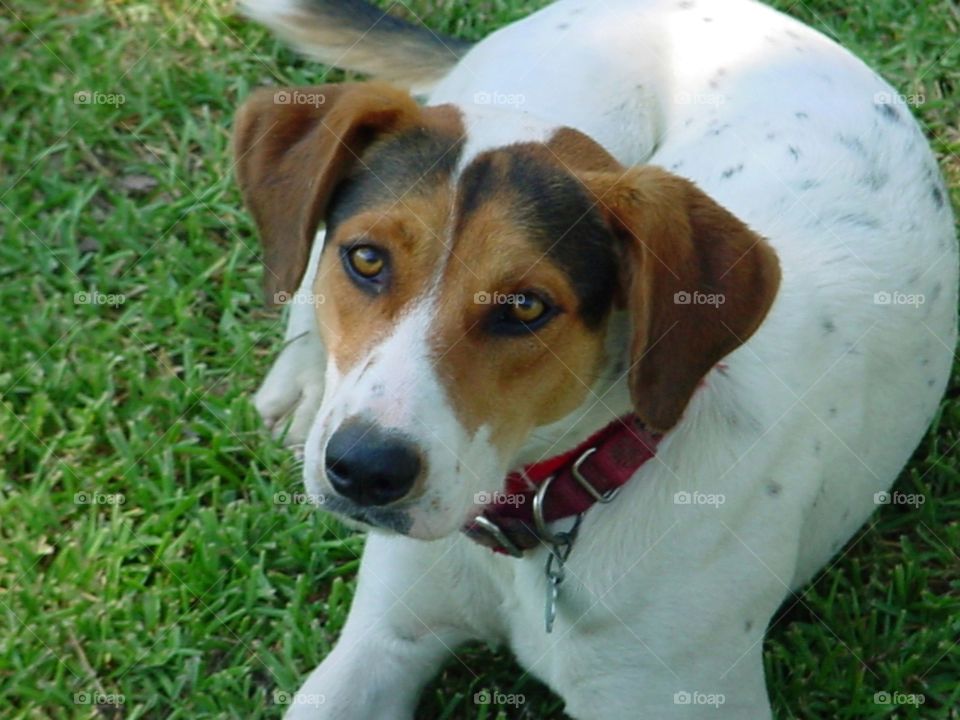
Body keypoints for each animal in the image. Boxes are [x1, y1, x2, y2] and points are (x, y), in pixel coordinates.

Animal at [234, 0, 960, 716]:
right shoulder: (381, 641)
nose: (363, 470)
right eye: (366, 259)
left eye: (525, 307)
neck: (540, 509)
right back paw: (300, 384)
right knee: (298, 258)